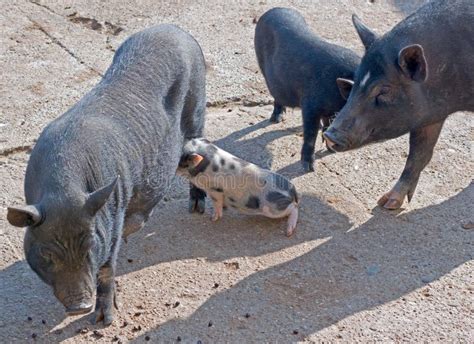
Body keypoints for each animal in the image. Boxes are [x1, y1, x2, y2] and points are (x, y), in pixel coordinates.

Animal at [5, 24, 206, 326]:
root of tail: (175, 28)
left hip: (198, 109)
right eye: (48, 253)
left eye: (89, 246)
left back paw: (196, 208)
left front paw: (103, 321)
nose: (79, 306)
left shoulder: (113, 213)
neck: (62, 189)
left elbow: (108, 268)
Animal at [256, 8, 360, 172]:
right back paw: (276, 119)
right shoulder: (310, 105)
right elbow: (310, 134)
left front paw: (330, 150)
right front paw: (308, 168)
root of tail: (273, 10)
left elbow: (328, 123)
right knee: (276, 95)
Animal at [324, 0, 474, 210]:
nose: (329, 135)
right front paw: (387, 203)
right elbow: (419, 154)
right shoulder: (430, 115)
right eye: (356, 80)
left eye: (384, 91)